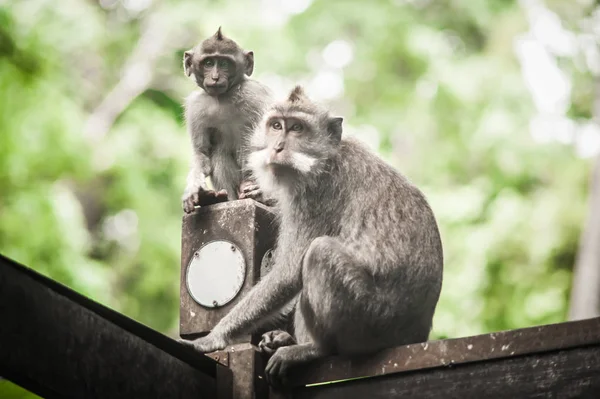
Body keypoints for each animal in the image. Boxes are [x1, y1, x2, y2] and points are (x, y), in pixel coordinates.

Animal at [180, 86, 442, 388]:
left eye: (297, 128)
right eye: (276, 125)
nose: (277, 147)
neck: (324, 157)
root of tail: (416, 334)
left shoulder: (315, 193)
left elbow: (289, 272)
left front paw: (215, 337)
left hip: (373, 320)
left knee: (320, 253)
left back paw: (315, 348)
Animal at [182, 27, 274, 212]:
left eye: (224, 63)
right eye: (208, 63)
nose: (215, 77)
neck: (223, 97)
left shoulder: (256, 94)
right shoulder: (196, 107)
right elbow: (202, 152)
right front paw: (194, 189)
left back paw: (265, 198)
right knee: (219, 153)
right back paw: (216, 199)